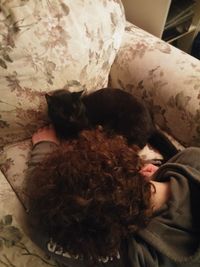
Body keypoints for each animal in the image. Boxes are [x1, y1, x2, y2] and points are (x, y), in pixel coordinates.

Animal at [45, 88, 178, 161]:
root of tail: (152, 124)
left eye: (75, 109)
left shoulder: (86, 127)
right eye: (62, 112)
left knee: (138, 143)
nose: (71, 119)